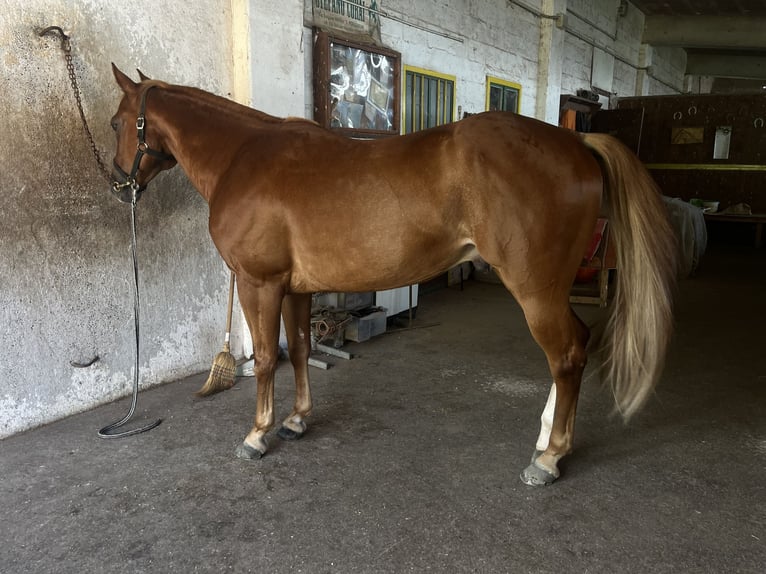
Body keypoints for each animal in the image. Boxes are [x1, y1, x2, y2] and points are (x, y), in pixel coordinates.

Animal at [109, 64, 680, 486]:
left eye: (116, 122)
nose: (118, 184)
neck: (243, 156)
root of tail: (577, 144)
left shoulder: (260, 284)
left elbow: (269, 357)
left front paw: (257, 435)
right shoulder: (295, 288)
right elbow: (300, 349)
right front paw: (296, 420)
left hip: (536, 290)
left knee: (566, 355)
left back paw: (548, 459)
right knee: (576, 347)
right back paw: (545, 440)